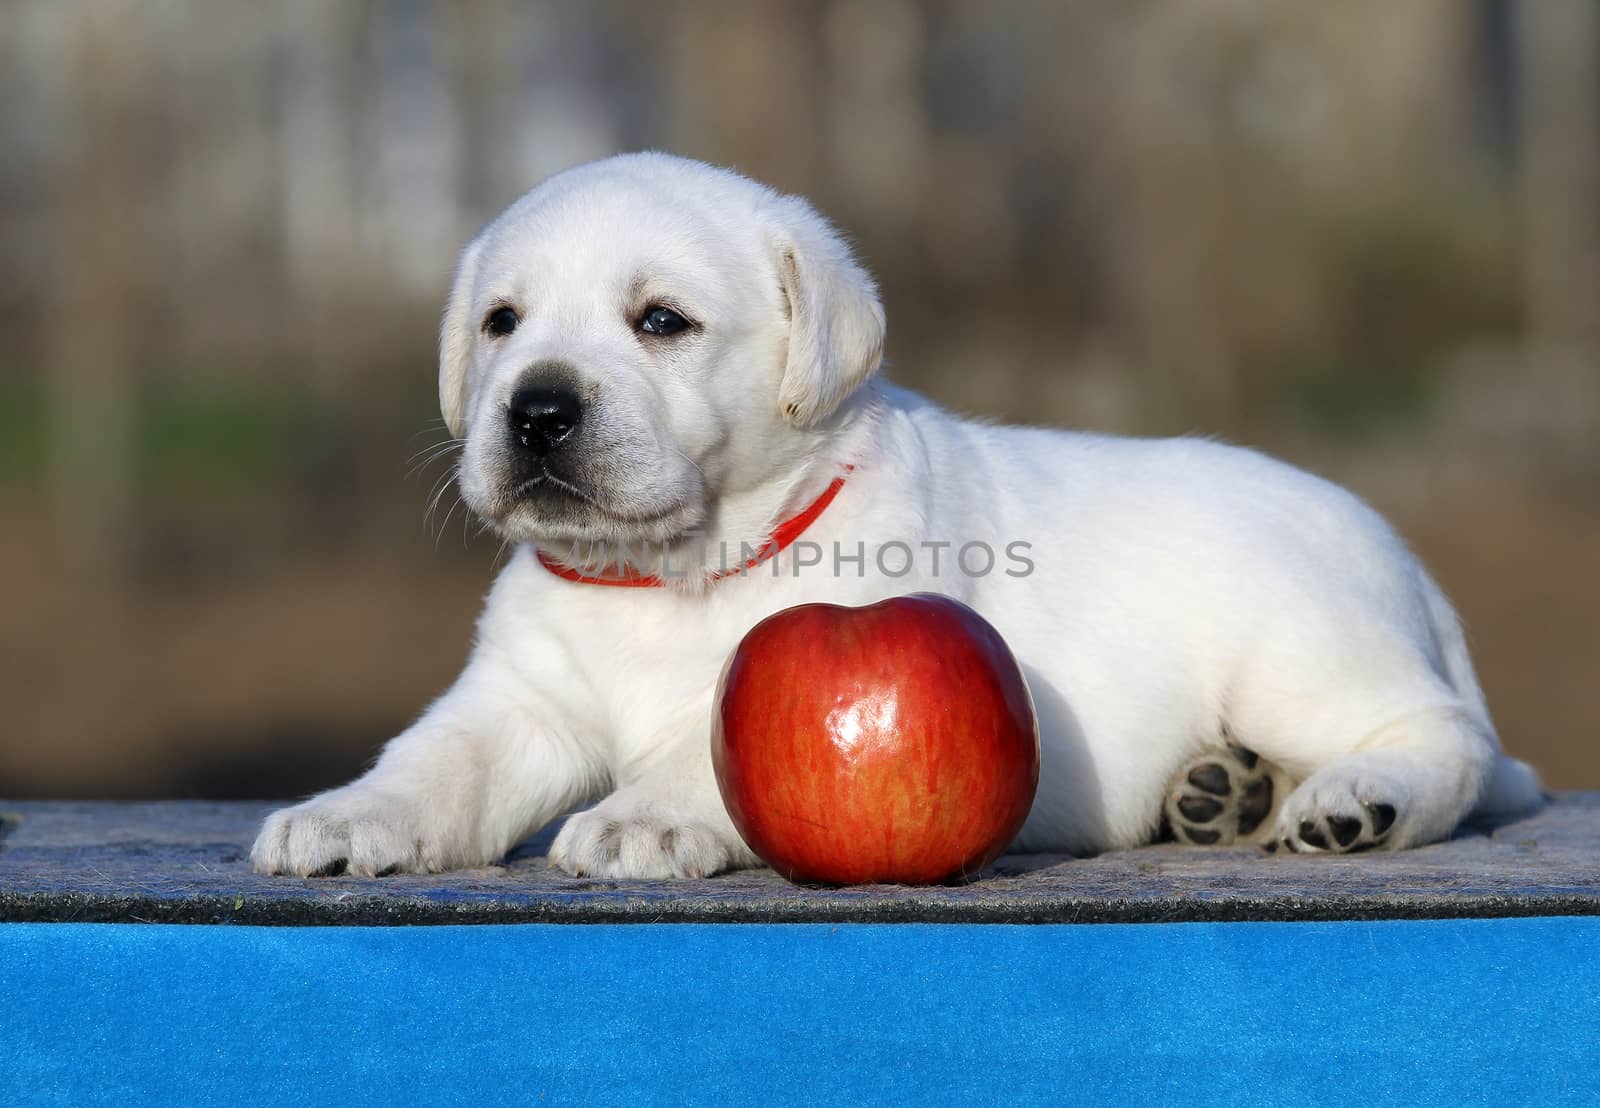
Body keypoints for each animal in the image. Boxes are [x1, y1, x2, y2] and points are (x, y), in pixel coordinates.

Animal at [249, 151, 1536, 877]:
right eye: (501, 324)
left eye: (661, 321)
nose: (538, 409)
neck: (670, 572)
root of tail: (1404, 559)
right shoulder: (519, 699)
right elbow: (439, 762)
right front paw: (344, 814)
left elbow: (694, 755)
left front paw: (640, 819)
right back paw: (1221, 793)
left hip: (1302, 647)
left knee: (1447, 743)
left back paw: (1347, 801)